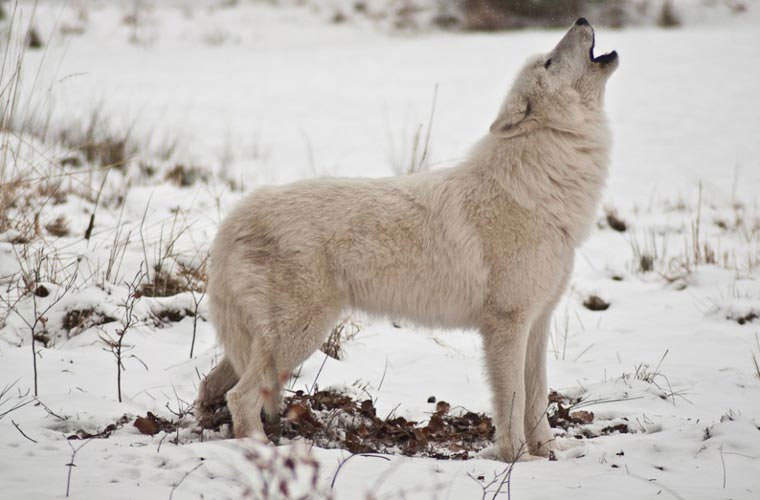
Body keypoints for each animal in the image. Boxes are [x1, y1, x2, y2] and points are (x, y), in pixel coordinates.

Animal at [196, 18, 618, 462]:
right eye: (550, 61)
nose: (582, 20)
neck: (541, 182)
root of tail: (237, 215)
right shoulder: (507, 325)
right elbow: (514, 401)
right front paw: (516, 459)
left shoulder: (537, 322)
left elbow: (537, 400)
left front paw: (550, 453)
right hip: (299, 336)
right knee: (241, 396)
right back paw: (261, 452)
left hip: (268, 341)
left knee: (212, 385)